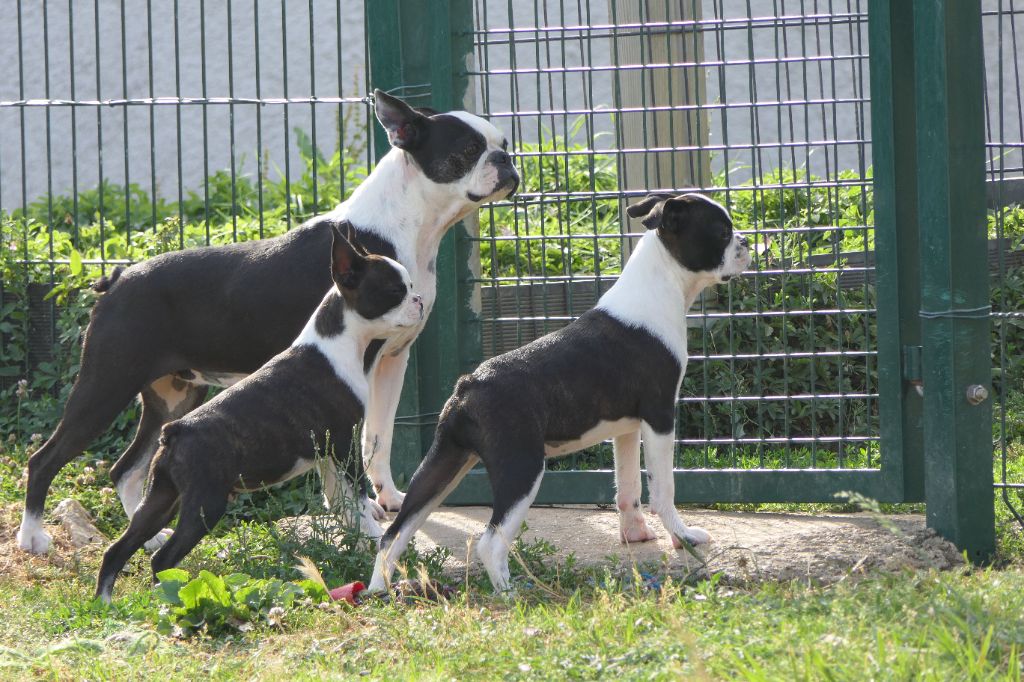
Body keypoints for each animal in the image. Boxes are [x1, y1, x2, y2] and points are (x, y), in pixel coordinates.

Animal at [22, 90, 520, 557]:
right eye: (468, 149)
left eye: (502, 144)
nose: (508, 160)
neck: (407, 227)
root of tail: (119, 277)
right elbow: (344, 458)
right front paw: (355, 517)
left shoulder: (391, 360)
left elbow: (378, 437)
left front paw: (387, 501)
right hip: (107, 383)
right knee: (45, 458)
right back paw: (33, 538)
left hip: (174, 395)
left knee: (125, 468)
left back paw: (146, 538)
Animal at [92, 223, 419, 602]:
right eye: (395, 291)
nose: (419, 300)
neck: (338, 341)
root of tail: (176, 431)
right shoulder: (343, 445)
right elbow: (360, 497)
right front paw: (373, 537)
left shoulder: (327, 452)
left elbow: (344, 501)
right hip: (205, 503)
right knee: (162, 558)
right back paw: (172, 595)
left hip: (161, 497)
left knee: (118, 548)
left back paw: (106, 602)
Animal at [368, 191, 753, 589]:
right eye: (722, 232)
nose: (746, 243)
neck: (662, 283)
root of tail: (468, 386)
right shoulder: (660, 416)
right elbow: (663, 488)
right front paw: (683, 537)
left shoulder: (627, 428)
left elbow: (627, 486)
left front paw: (634, 534)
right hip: (521, 467)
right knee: (491, 541)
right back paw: (509, 592)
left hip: (445, 461)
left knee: (394, 533)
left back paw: (379, 592)